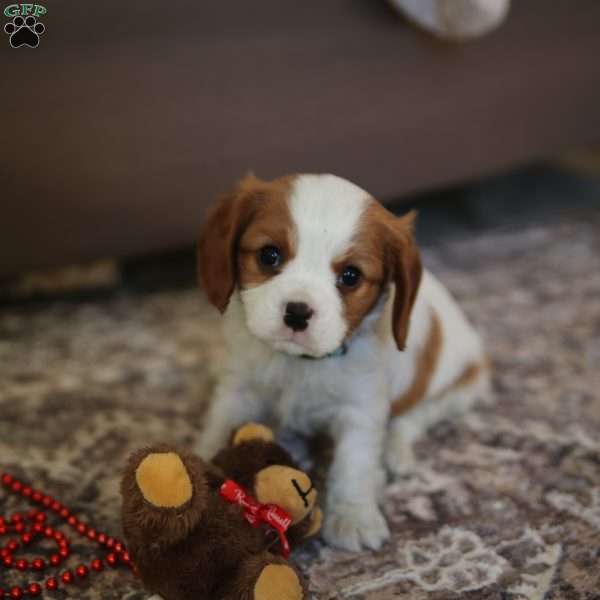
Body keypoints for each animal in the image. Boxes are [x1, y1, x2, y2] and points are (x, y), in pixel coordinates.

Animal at [195, 171, 490, 552]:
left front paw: (353, 516)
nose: (297, 312)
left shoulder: (361, 410)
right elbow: (220, 426)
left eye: (350, 276)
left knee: (410, 420)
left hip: (459, 389)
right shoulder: (239, 389)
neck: (302, 362)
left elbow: (354, 463)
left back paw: (394, 455)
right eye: (269, 255)